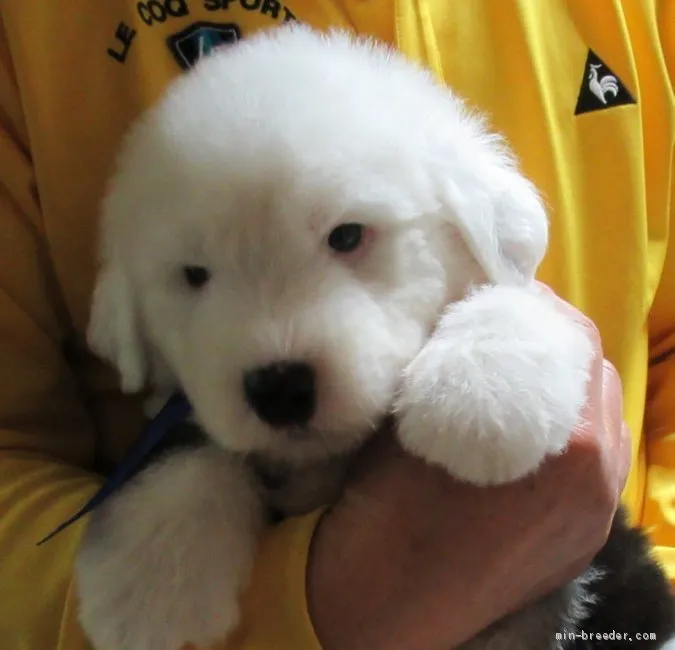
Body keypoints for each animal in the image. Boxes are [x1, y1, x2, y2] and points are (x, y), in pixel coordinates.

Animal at [78, 22, 592, 648]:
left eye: (347, 235)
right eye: (195, 275)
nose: (279, 388)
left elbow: (515, 300)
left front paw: (484, 399)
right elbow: (187, 444)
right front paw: (152, 581)